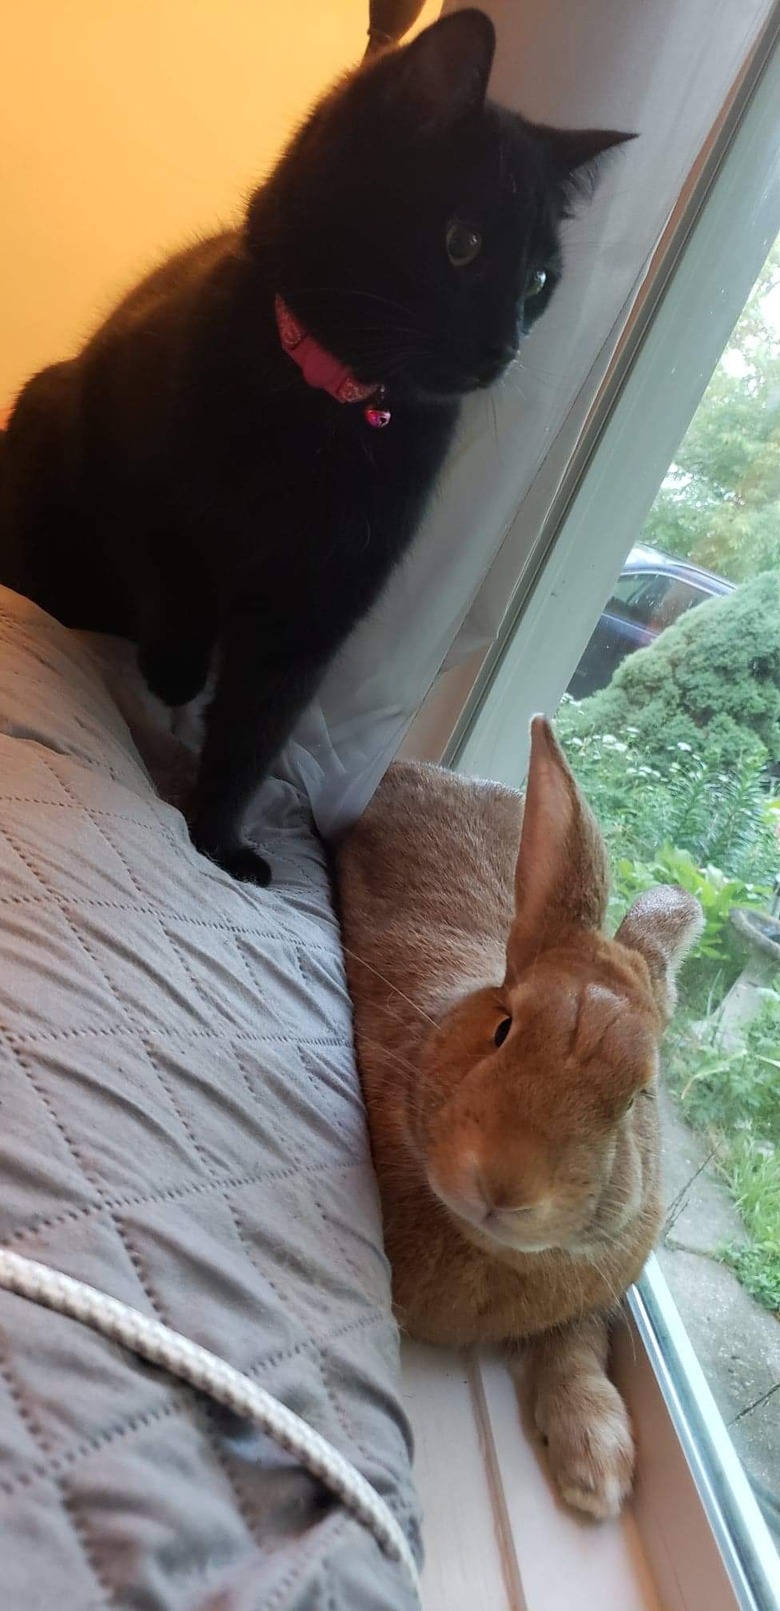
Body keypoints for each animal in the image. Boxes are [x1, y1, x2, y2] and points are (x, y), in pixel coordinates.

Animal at [0, 9, 631, 882]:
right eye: (462, 243)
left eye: (539, 282)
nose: (505, 345)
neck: (326, 410)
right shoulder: (114, 441)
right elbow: (172, 560)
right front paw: (178, 668)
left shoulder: (318, 605)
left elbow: (255, 730)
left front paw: (219, 841)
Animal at [335, 718, 699, 1520]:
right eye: (503, 1027)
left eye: (639, 1096)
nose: (505, 1184)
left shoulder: (596, 1301)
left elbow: (580, 1349)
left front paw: (598, 1471)